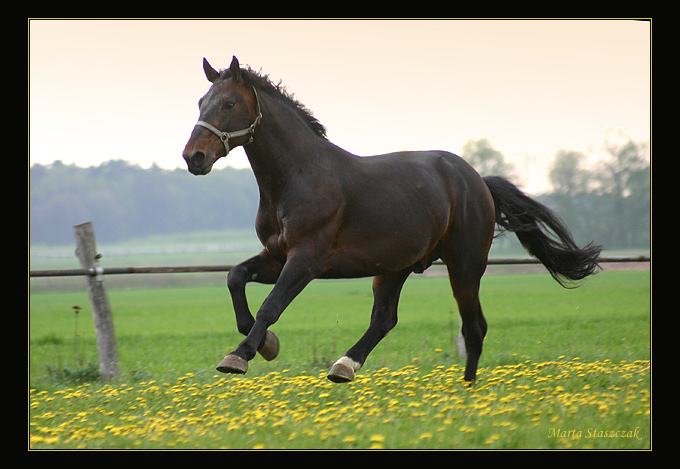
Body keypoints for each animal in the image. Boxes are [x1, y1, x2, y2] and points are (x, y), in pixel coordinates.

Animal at [182, 55, 600, 384]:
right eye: (202, 101)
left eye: (229, 103)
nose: (193, 157)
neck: (297, 176)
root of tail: (478, 180)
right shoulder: (276, 256)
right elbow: (235, 277)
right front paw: (266, 344)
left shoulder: (306, 259)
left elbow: (271, 305)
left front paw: (239, 356)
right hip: (394, 268)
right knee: (385, 319)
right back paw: (345, 366)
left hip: (464, 266)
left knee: (473, 327)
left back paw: (465, 393)